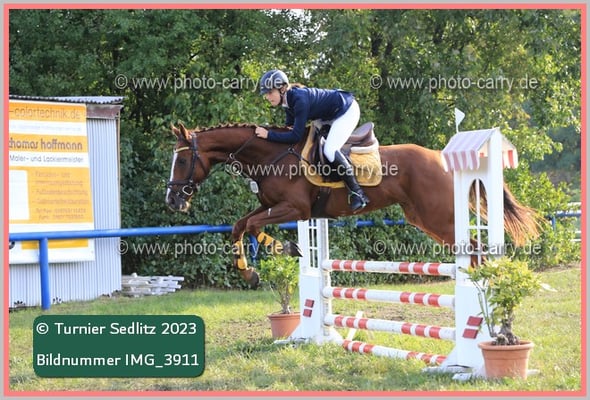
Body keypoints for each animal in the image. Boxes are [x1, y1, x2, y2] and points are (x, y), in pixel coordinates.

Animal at [166, 123, 541, 287]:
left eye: (182, 161)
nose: (172, 200)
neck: (271, 155)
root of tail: (439, 157)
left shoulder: (297, 210)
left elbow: (253, 226)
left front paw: (286, 249)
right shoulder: (274, 207)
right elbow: (241, 225)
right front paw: (250, 271)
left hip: (442, 218)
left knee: (476, 247)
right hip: (424, 218)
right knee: (474, 249)